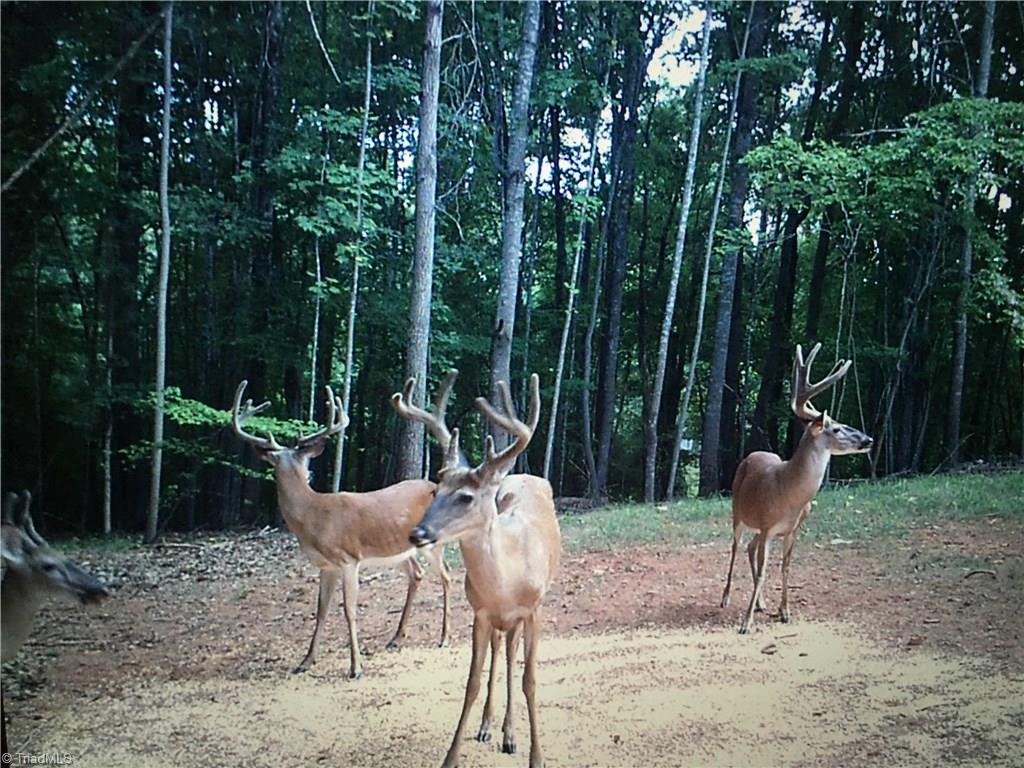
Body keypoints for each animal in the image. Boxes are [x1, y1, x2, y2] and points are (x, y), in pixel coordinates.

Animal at [230, 380, 451, 679]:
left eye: (305, 462)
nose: (310, 473)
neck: (315, 517)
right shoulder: (326, 566)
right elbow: (321, 611)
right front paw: (305, 661)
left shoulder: (349, 559)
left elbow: (349, 610)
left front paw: (356, 667)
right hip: (400, 550)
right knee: (416, 574)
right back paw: (396, 638)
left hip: (434, 542)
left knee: (446, 576)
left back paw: (444, 637)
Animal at [395, 373, 561, 768]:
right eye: (435, 490)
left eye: (466, 496)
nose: (417, 533)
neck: (506, 581)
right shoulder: (480, 613)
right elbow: (471, 681)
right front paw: (451, 756)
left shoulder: (533, 610)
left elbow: (530, 680)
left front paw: (536, 756)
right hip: (498, 621)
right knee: (502, 651)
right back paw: (491, 727)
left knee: (512, 655)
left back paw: (509, 734)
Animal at [720, 343, 873, 634]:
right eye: (836, 429)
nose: (869, 439)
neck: (789, 494)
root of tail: (751, 455)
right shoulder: (768, 526)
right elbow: (763, 571)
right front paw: (746, 623)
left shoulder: (792, 529)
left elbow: (786, 568)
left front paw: (785, 612)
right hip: (737, 513)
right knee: (735, 548)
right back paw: (725, 598)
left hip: (759, 528)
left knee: (749, 549)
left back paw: (762, 603)